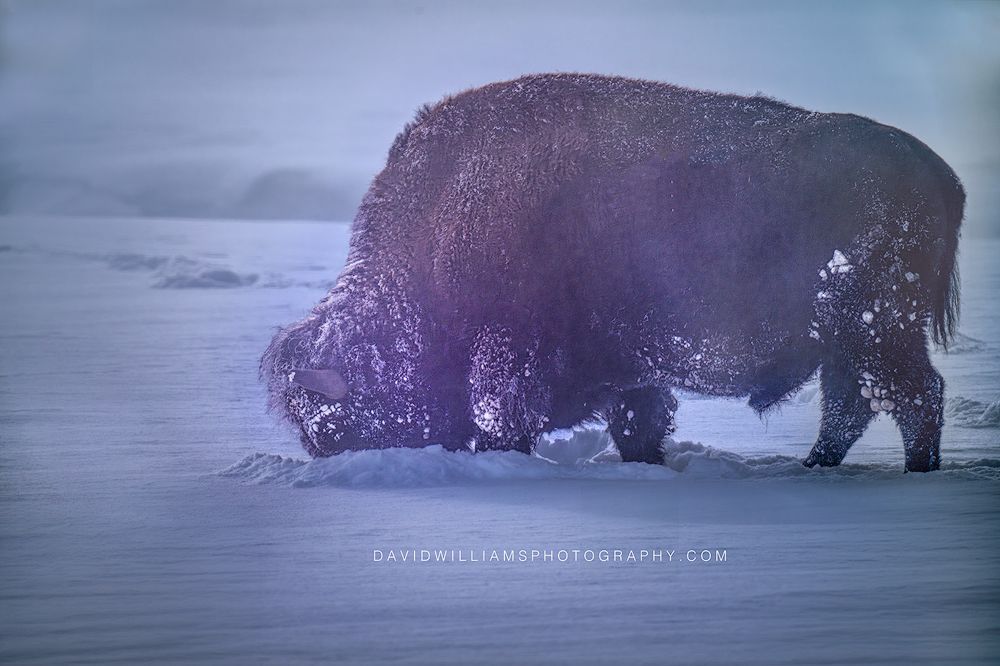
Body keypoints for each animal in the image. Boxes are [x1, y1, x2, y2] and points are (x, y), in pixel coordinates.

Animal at [262, 73, 963, 472]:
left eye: (346, 424)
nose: (349, 468)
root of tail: (939, 174)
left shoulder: (507, 363)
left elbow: (503, 419)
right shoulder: (631, 376)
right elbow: (639, 424)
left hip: (877, 334)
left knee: (913, 399)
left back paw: (911, 475)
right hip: (849, 344)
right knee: (853, 407)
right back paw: (813, 470)